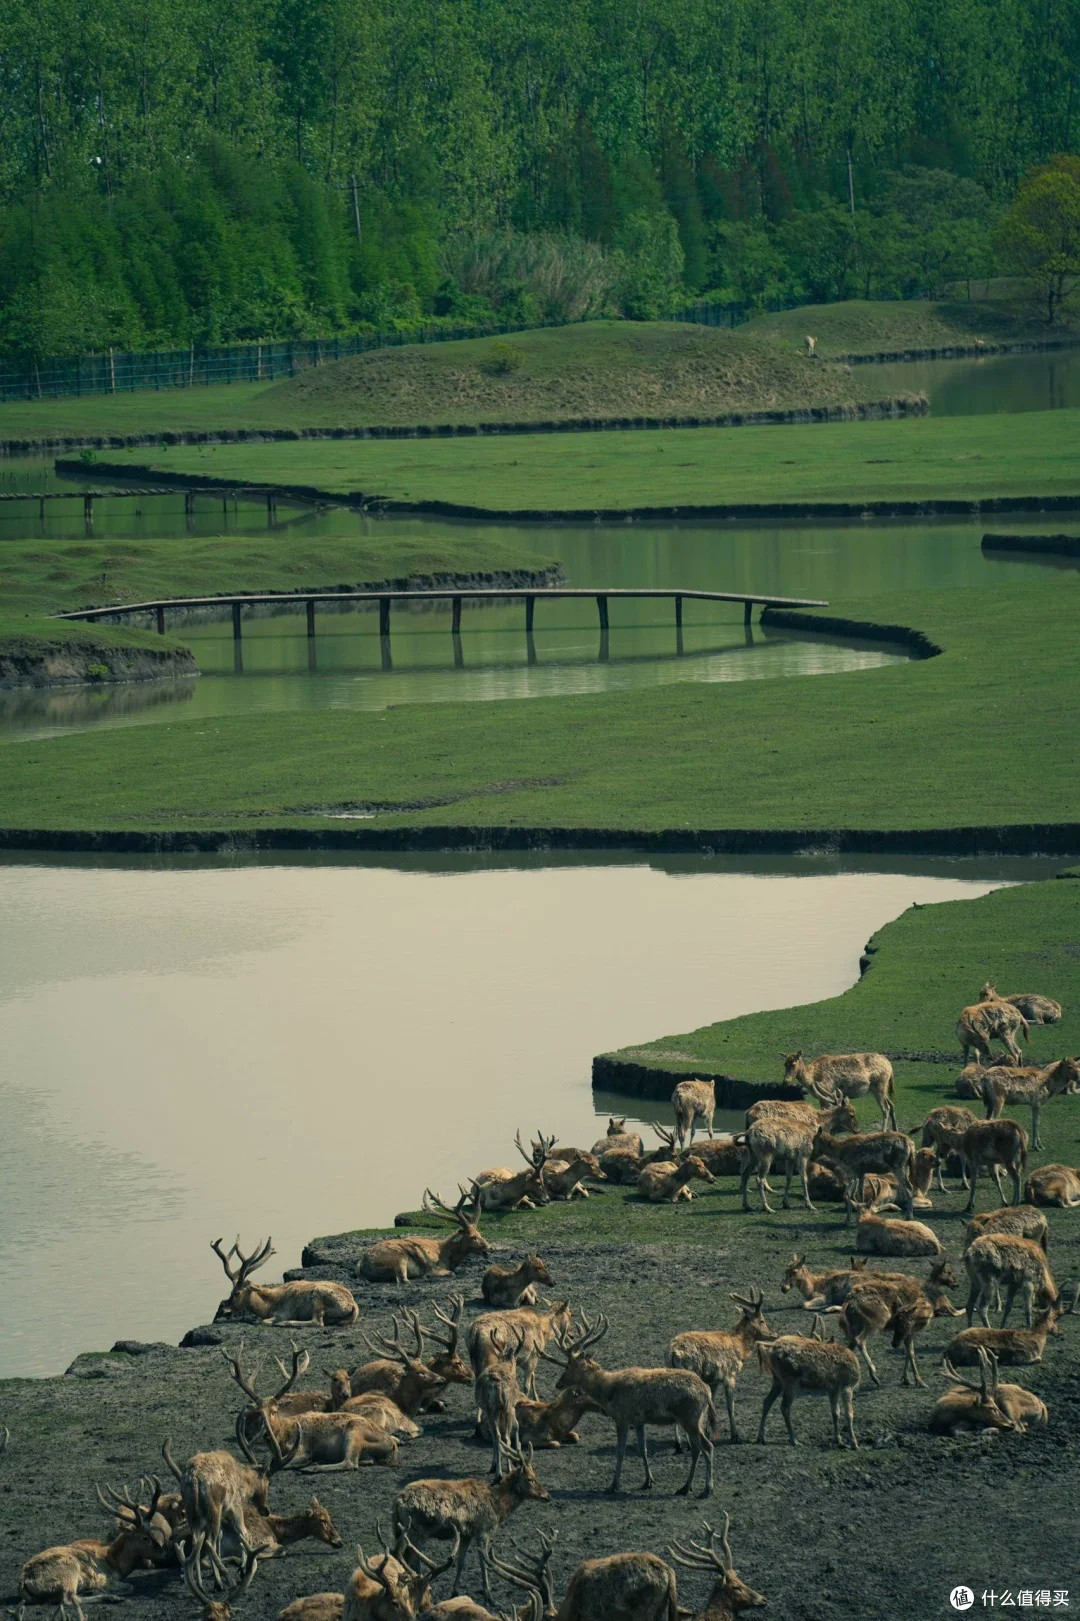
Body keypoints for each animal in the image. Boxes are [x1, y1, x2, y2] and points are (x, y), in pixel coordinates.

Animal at [358, 1188, 490, 1283]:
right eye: (472, 1237)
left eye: (480, 1233)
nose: (489, 1247)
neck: (448, 1256)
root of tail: (362, 1264)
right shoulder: (433, 1267)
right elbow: (450, 1273)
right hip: (399, 1257)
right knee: (403, 1279)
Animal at [392, 1450, 550, 1602]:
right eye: (530, 1479)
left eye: (535, 1476)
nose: (547, 1495)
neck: (497, 1506)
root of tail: (397, 1502)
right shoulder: (483, 1530)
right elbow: (484, 1562)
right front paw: (488, 1594)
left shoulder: (466, 1534)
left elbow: (461, 1563)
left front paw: (454, 1591)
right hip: (415, 1531)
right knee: (409, 1558)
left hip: (403, 1531)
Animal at [538, 1312, 715, 1496]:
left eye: (568, 1365)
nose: (558, 1383)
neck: (608, 1391)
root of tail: (707, 1392)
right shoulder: (638, 1421)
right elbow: (642, 1449)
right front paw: (648, 1481)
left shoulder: (622, 1417)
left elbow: (620, 1451)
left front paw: (613, 1485)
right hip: (697, 1419)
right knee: (698, 1448)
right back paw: (686, 1487)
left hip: (690, 1418)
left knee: (706, 1447)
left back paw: (705, 1489)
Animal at [668, 1287, 772, 1444]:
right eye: (762, 1320)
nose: (773, 1335)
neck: (739, 1349)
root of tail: (673, 1352)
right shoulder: (729, 1375)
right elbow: (730, 1406)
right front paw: (735, 1436)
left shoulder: (713, 1380)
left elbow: (712, 1402)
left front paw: (708, 1433)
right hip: (690, 1372)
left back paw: (679, 1443)